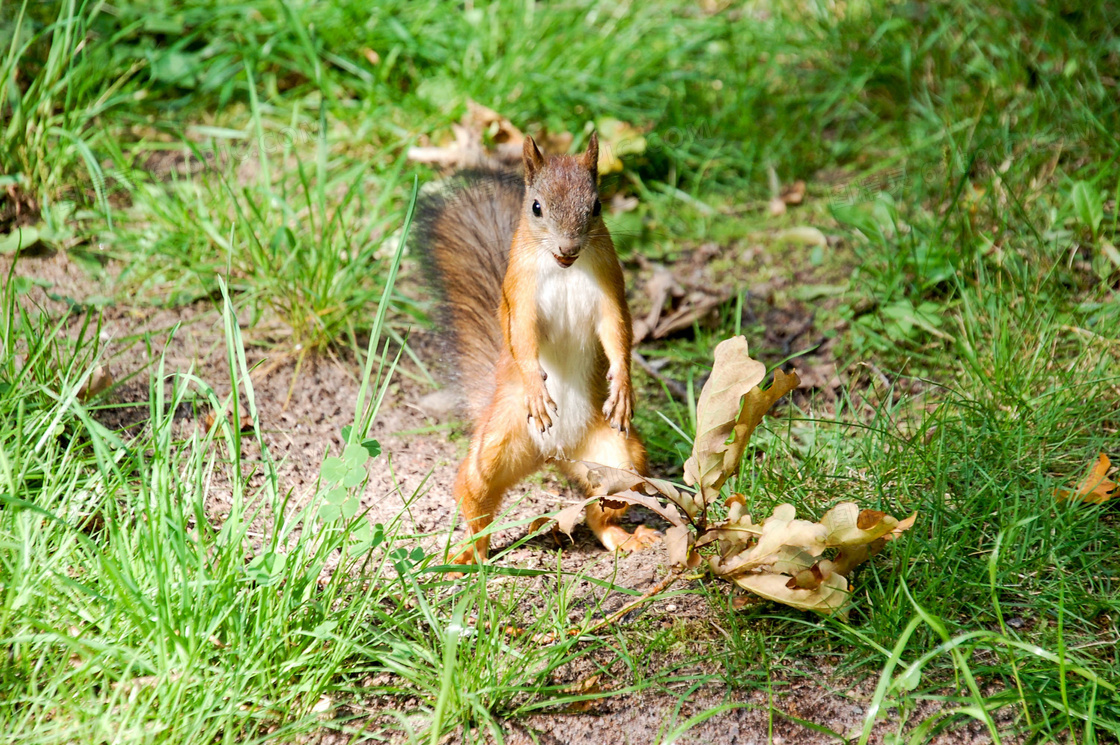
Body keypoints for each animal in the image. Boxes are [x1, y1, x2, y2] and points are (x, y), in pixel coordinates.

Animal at [416, 133, 658, 564]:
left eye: (596, 206)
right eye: (536, 207)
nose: (568, 247)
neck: (565, 270)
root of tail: (554, 453)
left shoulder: (610, 289)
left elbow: (617, 334)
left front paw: (623, 387)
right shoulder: (520, 293)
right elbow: (524, 338)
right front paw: (536, 387)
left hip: (621, 462)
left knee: (601, 510)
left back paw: (623, 537)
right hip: (494, 446)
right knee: (475, 503)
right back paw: (465, 556)